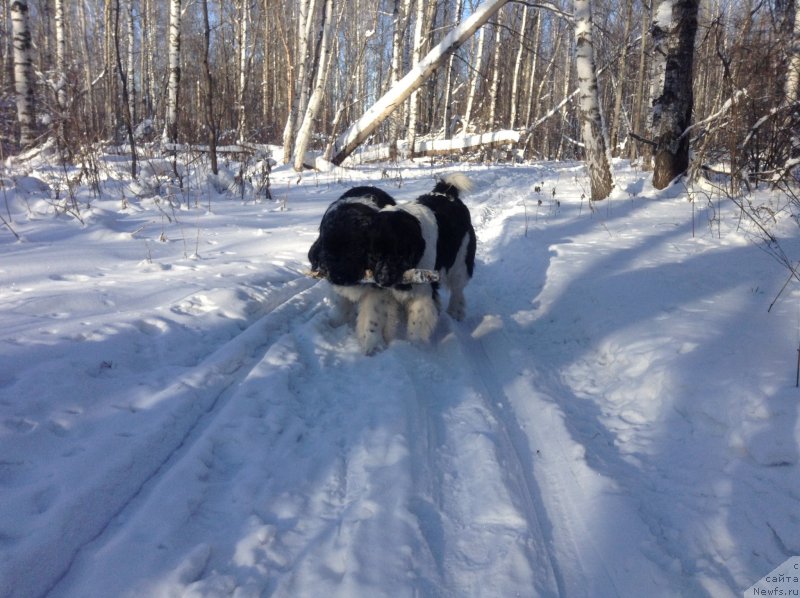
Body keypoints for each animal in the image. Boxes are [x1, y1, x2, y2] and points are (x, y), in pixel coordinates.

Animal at [368, 175, 476, 342]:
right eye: (374, 255)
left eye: (399, 255)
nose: (383, 279)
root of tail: (447, 193)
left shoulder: (422, 291)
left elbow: (417, 324)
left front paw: (414, 346)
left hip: (460, 262)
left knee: (457, 290)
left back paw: (455, 313)